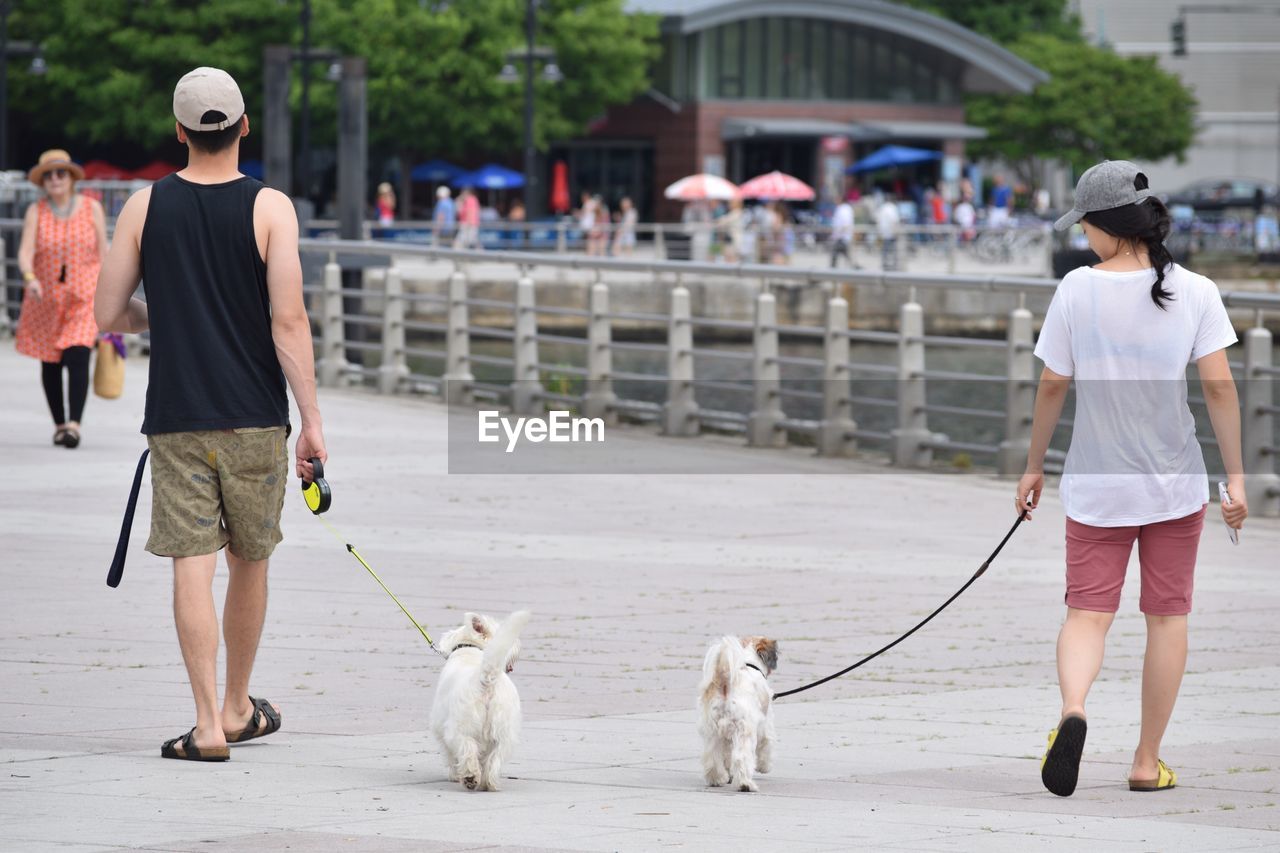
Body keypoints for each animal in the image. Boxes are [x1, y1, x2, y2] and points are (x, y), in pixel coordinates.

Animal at [430, 607, 529, 788]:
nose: (519, 645)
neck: (469, 650)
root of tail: (487, 677)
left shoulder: (440, 727)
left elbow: (449, 754)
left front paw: (454, 774)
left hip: (461, 725)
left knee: (467, 748)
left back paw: (470, 776)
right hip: (504, 730)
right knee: (494, 758)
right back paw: (488, 782)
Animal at [701, 630, 778, 788]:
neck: (751, 664)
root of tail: (725, 684)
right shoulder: (765, 724)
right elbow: (766, 745)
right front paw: (764, 767)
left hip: (712, 730)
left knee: (712, 756)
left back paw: (717, 779)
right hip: (745, 730)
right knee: (741, 757)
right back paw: (745, 784)